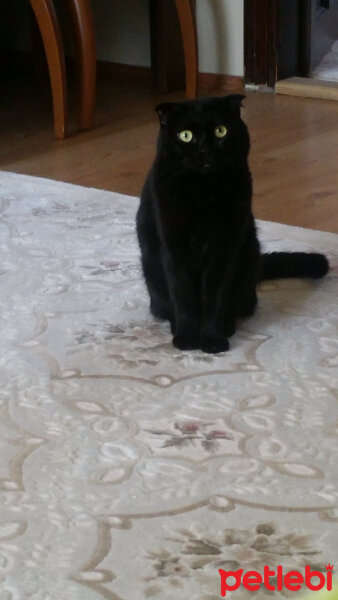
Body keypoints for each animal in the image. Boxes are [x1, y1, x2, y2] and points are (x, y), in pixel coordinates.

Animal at [136, 95, 328, 354]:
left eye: (220, 131)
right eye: (185, 135)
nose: (205, 148)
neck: (203, 191)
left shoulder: (225, 248)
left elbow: (216, 297)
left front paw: (212, 340)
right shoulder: (175, 248)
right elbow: (183, 295)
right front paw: (187, 338)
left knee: (240, 307)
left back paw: (227, 327)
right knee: (165, 307)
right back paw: (177, 326)